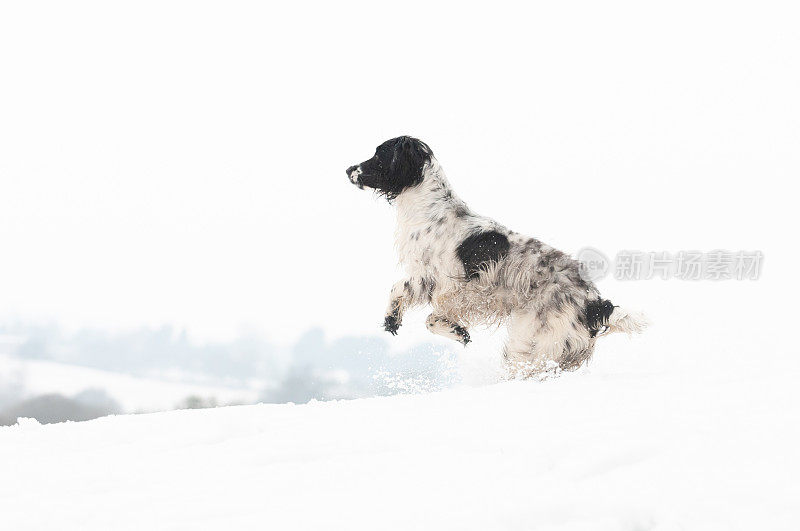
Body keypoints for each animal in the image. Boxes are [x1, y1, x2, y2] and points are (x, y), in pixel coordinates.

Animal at [344, 137, 644, 378]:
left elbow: (419, 307)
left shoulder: (448, 283)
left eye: (379, 154)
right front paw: (440, 327)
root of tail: (595, 303)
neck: (431, 208)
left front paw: (447, 329)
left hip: (532, 341)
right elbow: (407, 297)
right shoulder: (431, 279)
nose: (348, 169)